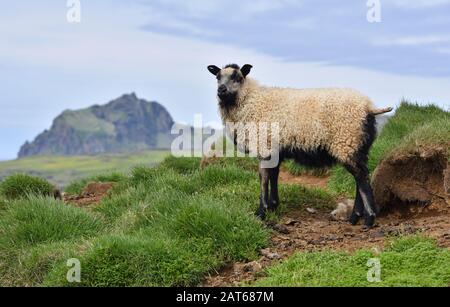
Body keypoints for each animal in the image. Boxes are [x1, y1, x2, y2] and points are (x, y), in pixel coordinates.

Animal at [206, 63, 392, 230]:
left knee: (362, 178)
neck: (250, 100)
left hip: (346, 141)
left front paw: (261, 212)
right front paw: (273, 206)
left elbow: (263, 178)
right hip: (358, 146)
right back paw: (354, 218)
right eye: (217, 77)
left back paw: (368, 219)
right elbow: (274, 176)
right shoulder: (275, 150)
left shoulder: (264, 146)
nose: (221, 90)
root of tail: (368, 107)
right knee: (360, 178)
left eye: (237, 77)